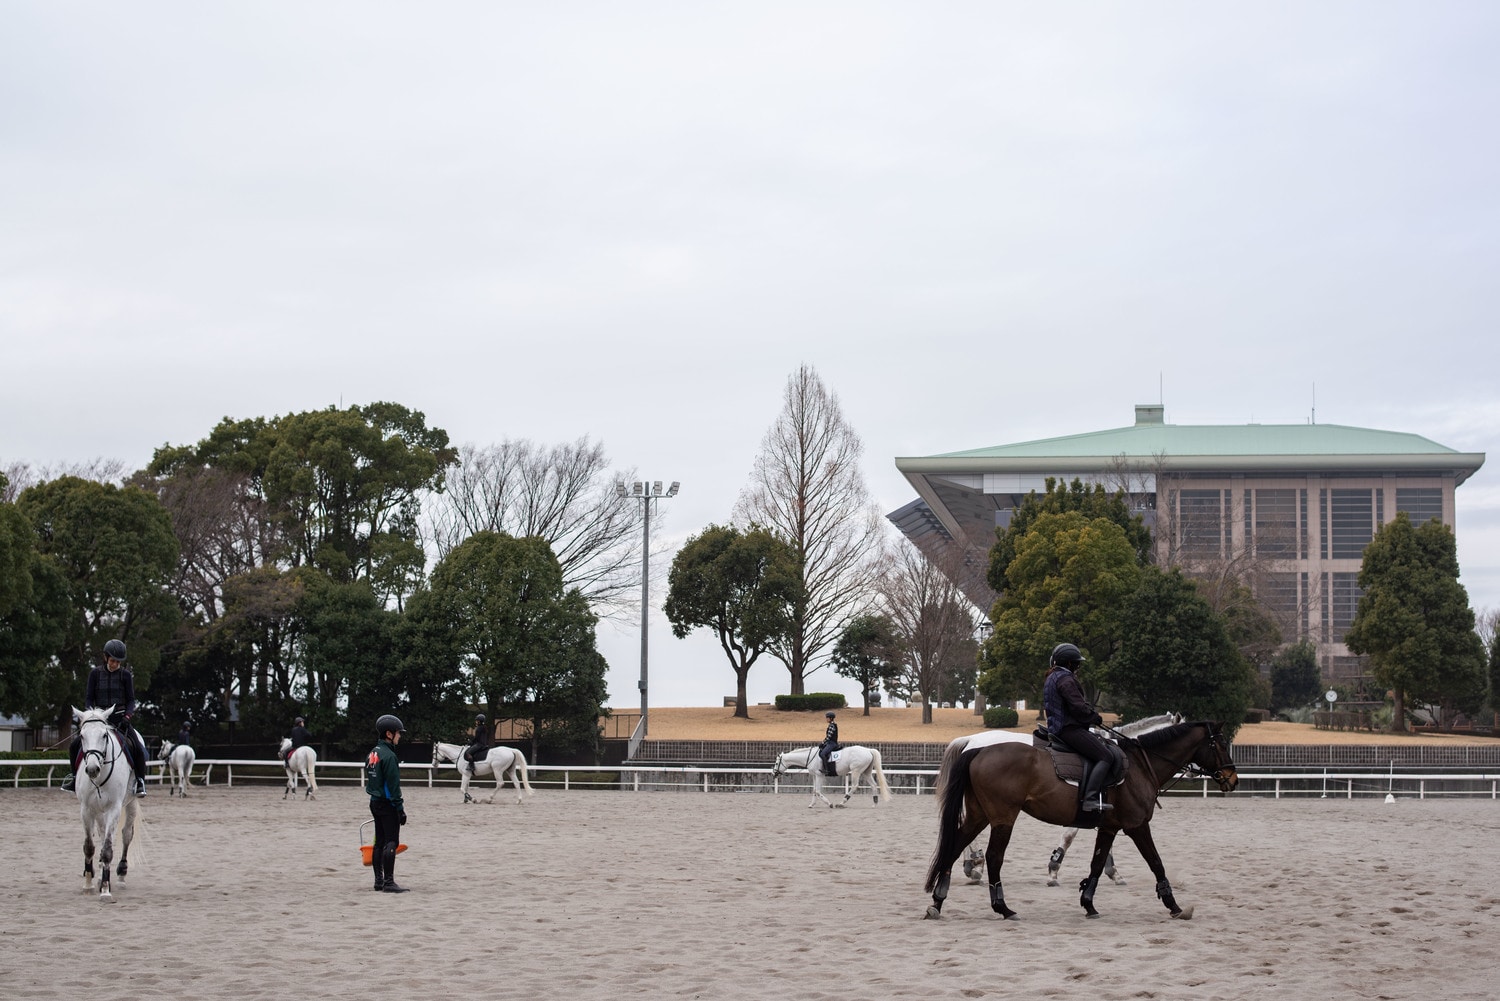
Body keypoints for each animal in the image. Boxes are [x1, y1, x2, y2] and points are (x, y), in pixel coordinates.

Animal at [73, 706, 140, 902]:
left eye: (104, 735)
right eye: (82, 736)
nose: (92, 769)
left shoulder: (114, 809)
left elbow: (108, 848)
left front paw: (105, 890)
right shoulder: (86, 810)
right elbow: (89, 847)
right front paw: (88, 884)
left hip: (131, 803)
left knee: (126, 835)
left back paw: (121, 875)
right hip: (99, 812)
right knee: (102, 836)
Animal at [924, 719, 1238, 921]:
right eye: (1221, 743)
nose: (1232, 779)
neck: (1138, 765)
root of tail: (977, 747)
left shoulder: (1109, 826)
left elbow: (1097, 862)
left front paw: (1089, 901)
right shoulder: (1137, 826)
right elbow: (1156, 863)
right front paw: (1174, 905)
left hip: (980, 814)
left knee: (955, 846)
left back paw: (939, 899)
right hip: (1002, 818)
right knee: (993, 857)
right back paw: (1000, 904)